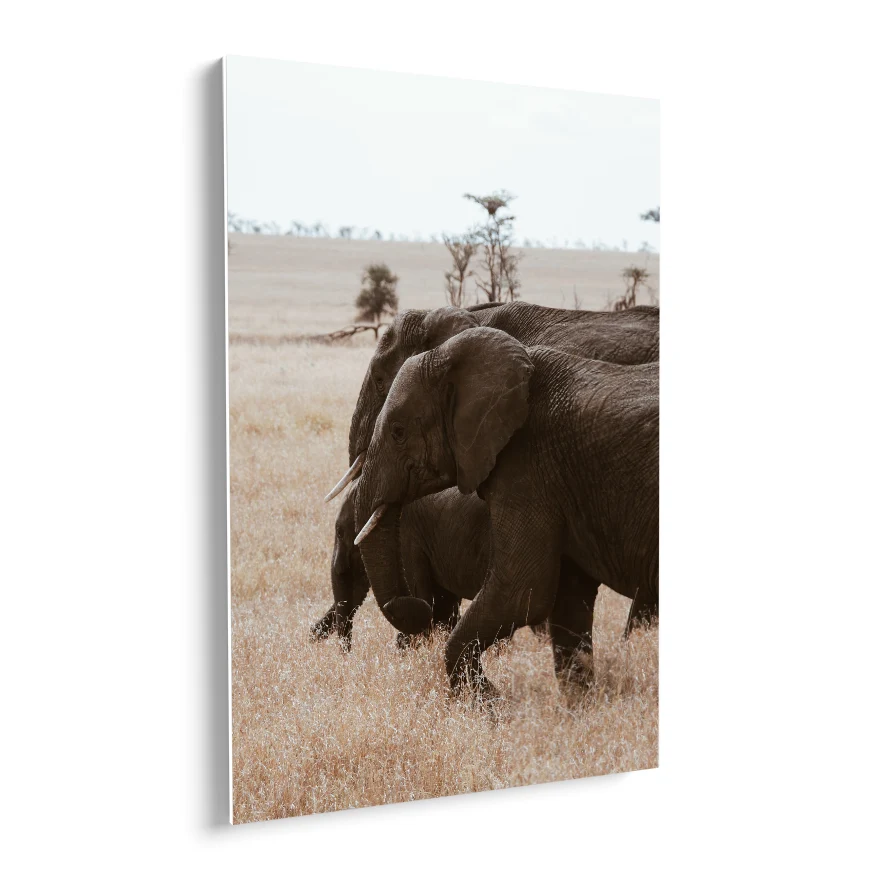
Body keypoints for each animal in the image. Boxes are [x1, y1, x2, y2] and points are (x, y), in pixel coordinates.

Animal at [351, 326, 658, 699]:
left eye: (398, 432)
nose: (415, 605)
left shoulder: (529, 465)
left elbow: (522, 591)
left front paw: (490, 703)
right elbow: (568, 599)